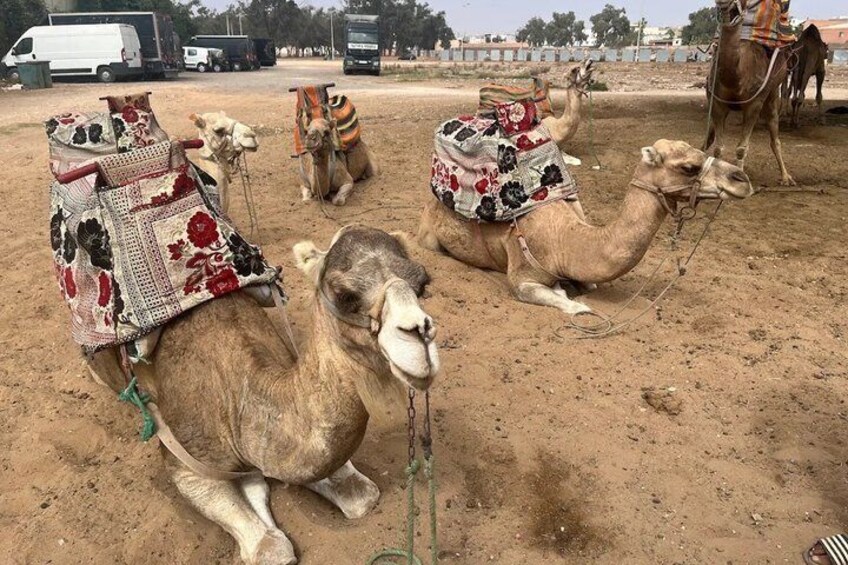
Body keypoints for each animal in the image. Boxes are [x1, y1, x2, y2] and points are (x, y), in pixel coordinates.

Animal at [87, 226, 440, 564]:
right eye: (345, 295)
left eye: (422, 284)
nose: (419, 337)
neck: (242, 396)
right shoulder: (185, 460)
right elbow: (272, 550)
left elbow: (362, 495)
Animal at [418, 140, 754, 315]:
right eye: (689, 167)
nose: (742, 179)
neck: (566, 239)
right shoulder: (522, 277)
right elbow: (573, 306)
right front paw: (571, 298)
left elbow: (589, 285)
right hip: (428, 236)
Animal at [705, 0, 795, 186]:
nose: (724, 3)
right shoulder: (717, 103)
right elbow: (718, 148)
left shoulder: (754, 104)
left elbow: (741, 148)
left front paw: (739, 177)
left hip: (772, 92)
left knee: (774, 135)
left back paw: (785, 177)